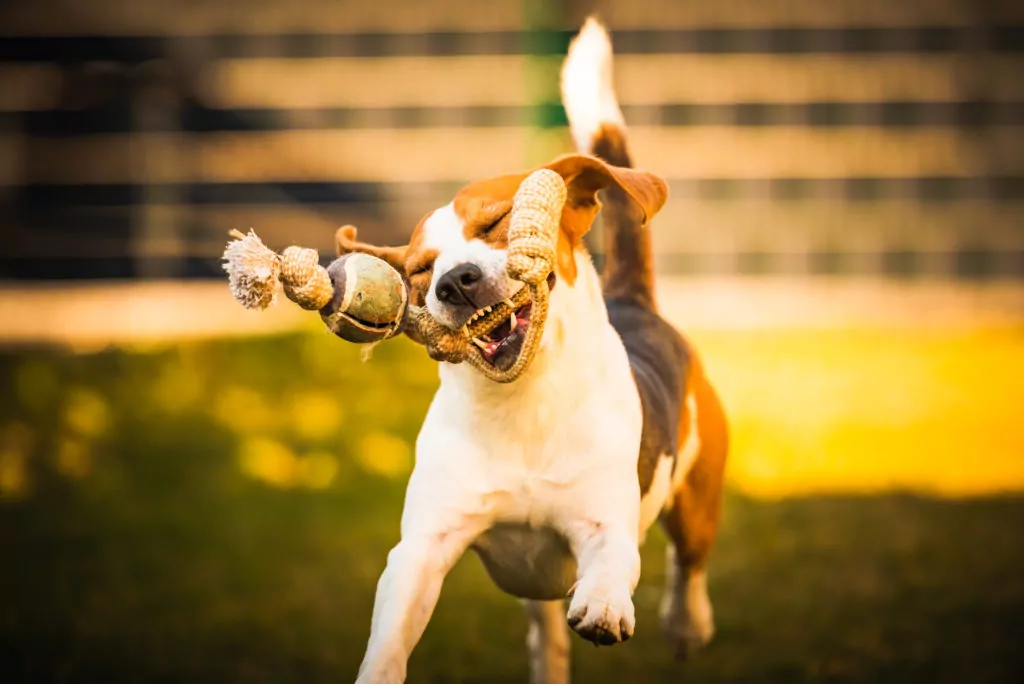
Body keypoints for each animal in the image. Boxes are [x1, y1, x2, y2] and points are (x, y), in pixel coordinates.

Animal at [335, 17, 729, 684]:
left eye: (497, 224)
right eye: (419, 271)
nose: (454, 282)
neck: (522, 403)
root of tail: (635, 304)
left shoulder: (604, 522)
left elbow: (613, 559)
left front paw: (605, 603)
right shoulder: (423, 548)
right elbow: (389, 634)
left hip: (697, 494)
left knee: (690, 562)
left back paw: (688, 622)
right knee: (549, 639)